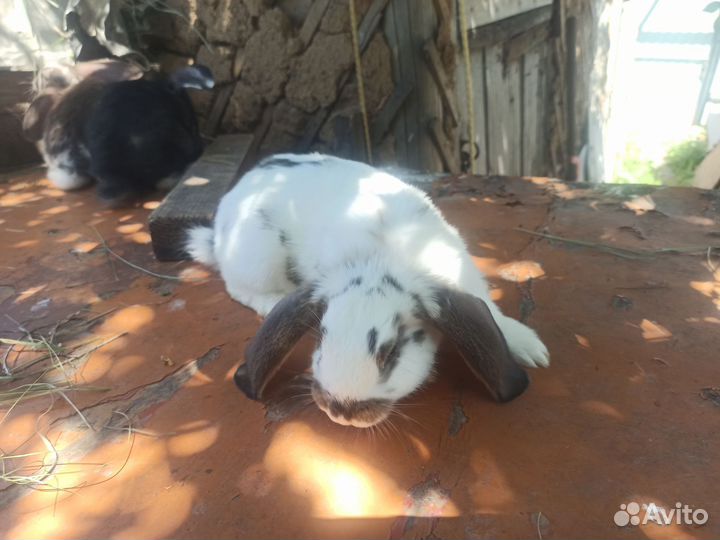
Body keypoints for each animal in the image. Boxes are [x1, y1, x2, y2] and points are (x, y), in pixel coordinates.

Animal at [186, 154, 550, 428]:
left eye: (392, 351)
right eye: (321, 336)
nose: (342, 410)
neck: (380, 258)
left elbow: (496, 315)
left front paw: (531, 349)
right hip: (257, 263)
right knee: (238, 288)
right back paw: (270, 302)